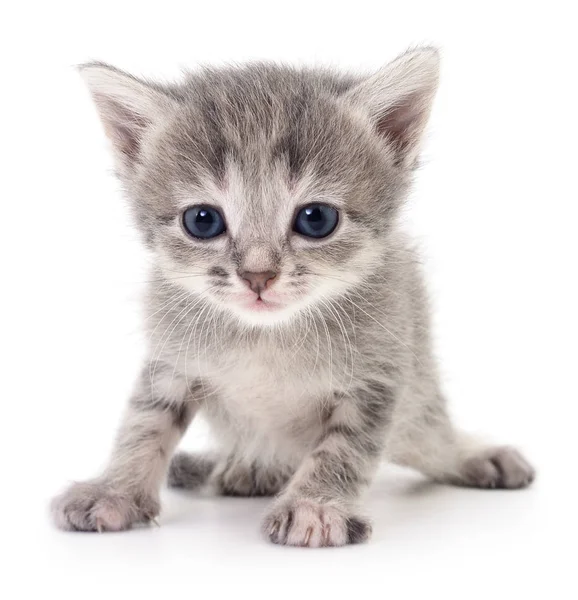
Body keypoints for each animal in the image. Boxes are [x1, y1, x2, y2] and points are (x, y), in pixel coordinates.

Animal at [51, 49, 532, 548]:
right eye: (202, 220)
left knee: (433, 442)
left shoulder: (378, 374)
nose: (257, 275)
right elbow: (144, 422)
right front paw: (115, 489)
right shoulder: (171, 358)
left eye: (316, 219)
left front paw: (314, 506)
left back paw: (475, 455)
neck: (268, 337)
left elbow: (344, 447)